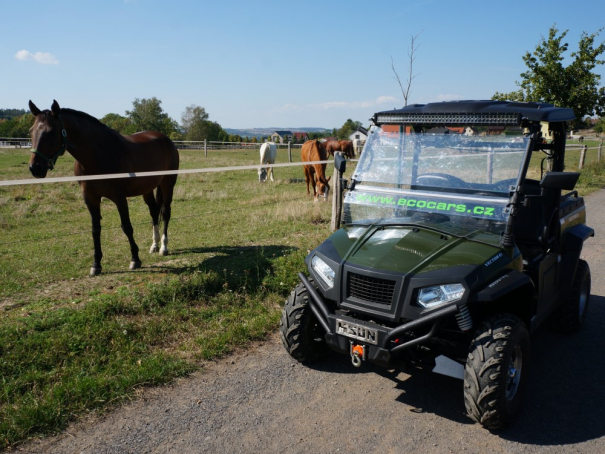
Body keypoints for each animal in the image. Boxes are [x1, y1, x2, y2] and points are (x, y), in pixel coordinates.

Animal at [28, 100, 179, 276]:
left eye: (51, 131)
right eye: (31, 130)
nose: (35, 168)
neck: (98, 156)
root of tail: (166, 139)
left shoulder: (119, 197)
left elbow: (127, 227)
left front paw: (135, 259)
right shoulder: (90, 198)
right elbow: (95, 230)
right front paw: (96, 264)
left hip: (168, 184)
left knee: (165, 213)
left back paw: (163, 247)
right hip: (147, 189)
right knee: (154, 212)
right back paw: (154, 245)